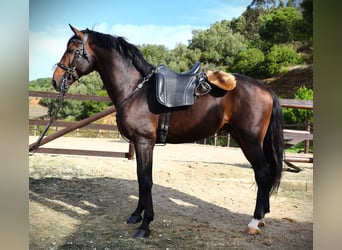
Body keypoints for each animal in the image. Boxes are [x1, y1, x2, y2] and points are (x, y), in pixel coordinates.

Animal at [52, 25, 284, 238]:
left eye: (72, 49)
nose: (56, 80)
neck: (135, 89)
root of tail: (265, 88)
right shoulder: (140, 144)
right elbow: (140, 178)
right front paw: (136, 215)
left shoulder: (144, 142)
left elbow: (146, 180)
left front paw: (145, 225)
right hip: (241, 137)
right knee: (263, 173)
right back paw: (262, 216)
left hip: (250, 140)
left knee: (263, 173)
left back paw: (254, 221)